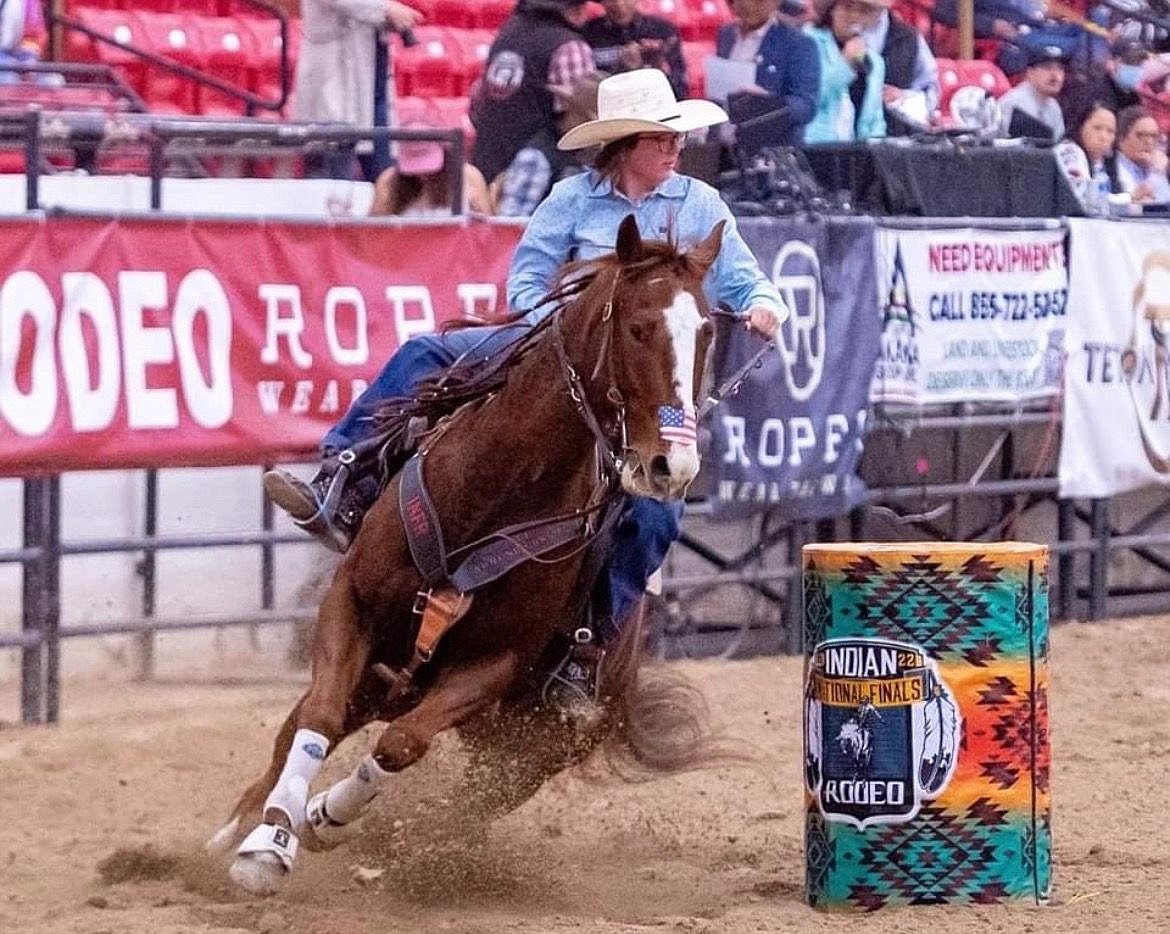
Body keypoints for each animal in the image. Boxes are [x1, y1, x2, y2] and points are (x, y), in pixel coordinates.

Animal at [205, 215, 725, 894]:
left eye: (708, 332)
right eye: (639, 327)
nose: (674, 466)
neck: (494, 489)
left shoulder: (491, 666)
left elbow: (400, 746)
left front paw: (321, 816)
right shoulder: (352, 606)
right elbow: (318, 715)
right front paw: (267, 844)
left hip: (526, 753)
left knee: (459, 797)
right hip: (383, 681)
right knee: (307, 725)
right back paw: (233, 832)